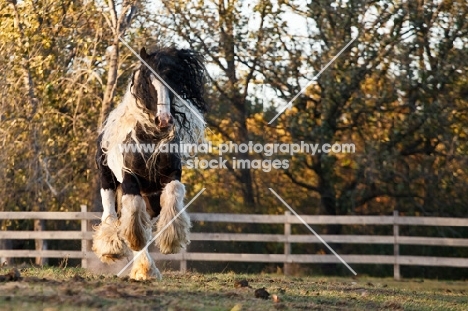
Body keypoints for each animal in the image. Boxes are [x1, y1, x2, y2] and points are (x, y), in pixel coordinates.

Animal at [93, 47, 207, 282]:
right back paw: (113, 249)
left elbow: (173, 195)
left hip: (152, 199)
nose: (164, 120)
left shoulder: (172, 174)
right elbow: (134, 221)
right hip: (107, 182)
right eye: (147, 81)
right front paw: (142, 263)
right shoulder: (129, 179)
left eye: (173, 79)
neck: (149, 138)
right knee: (111, 214)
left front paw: (172, 240)